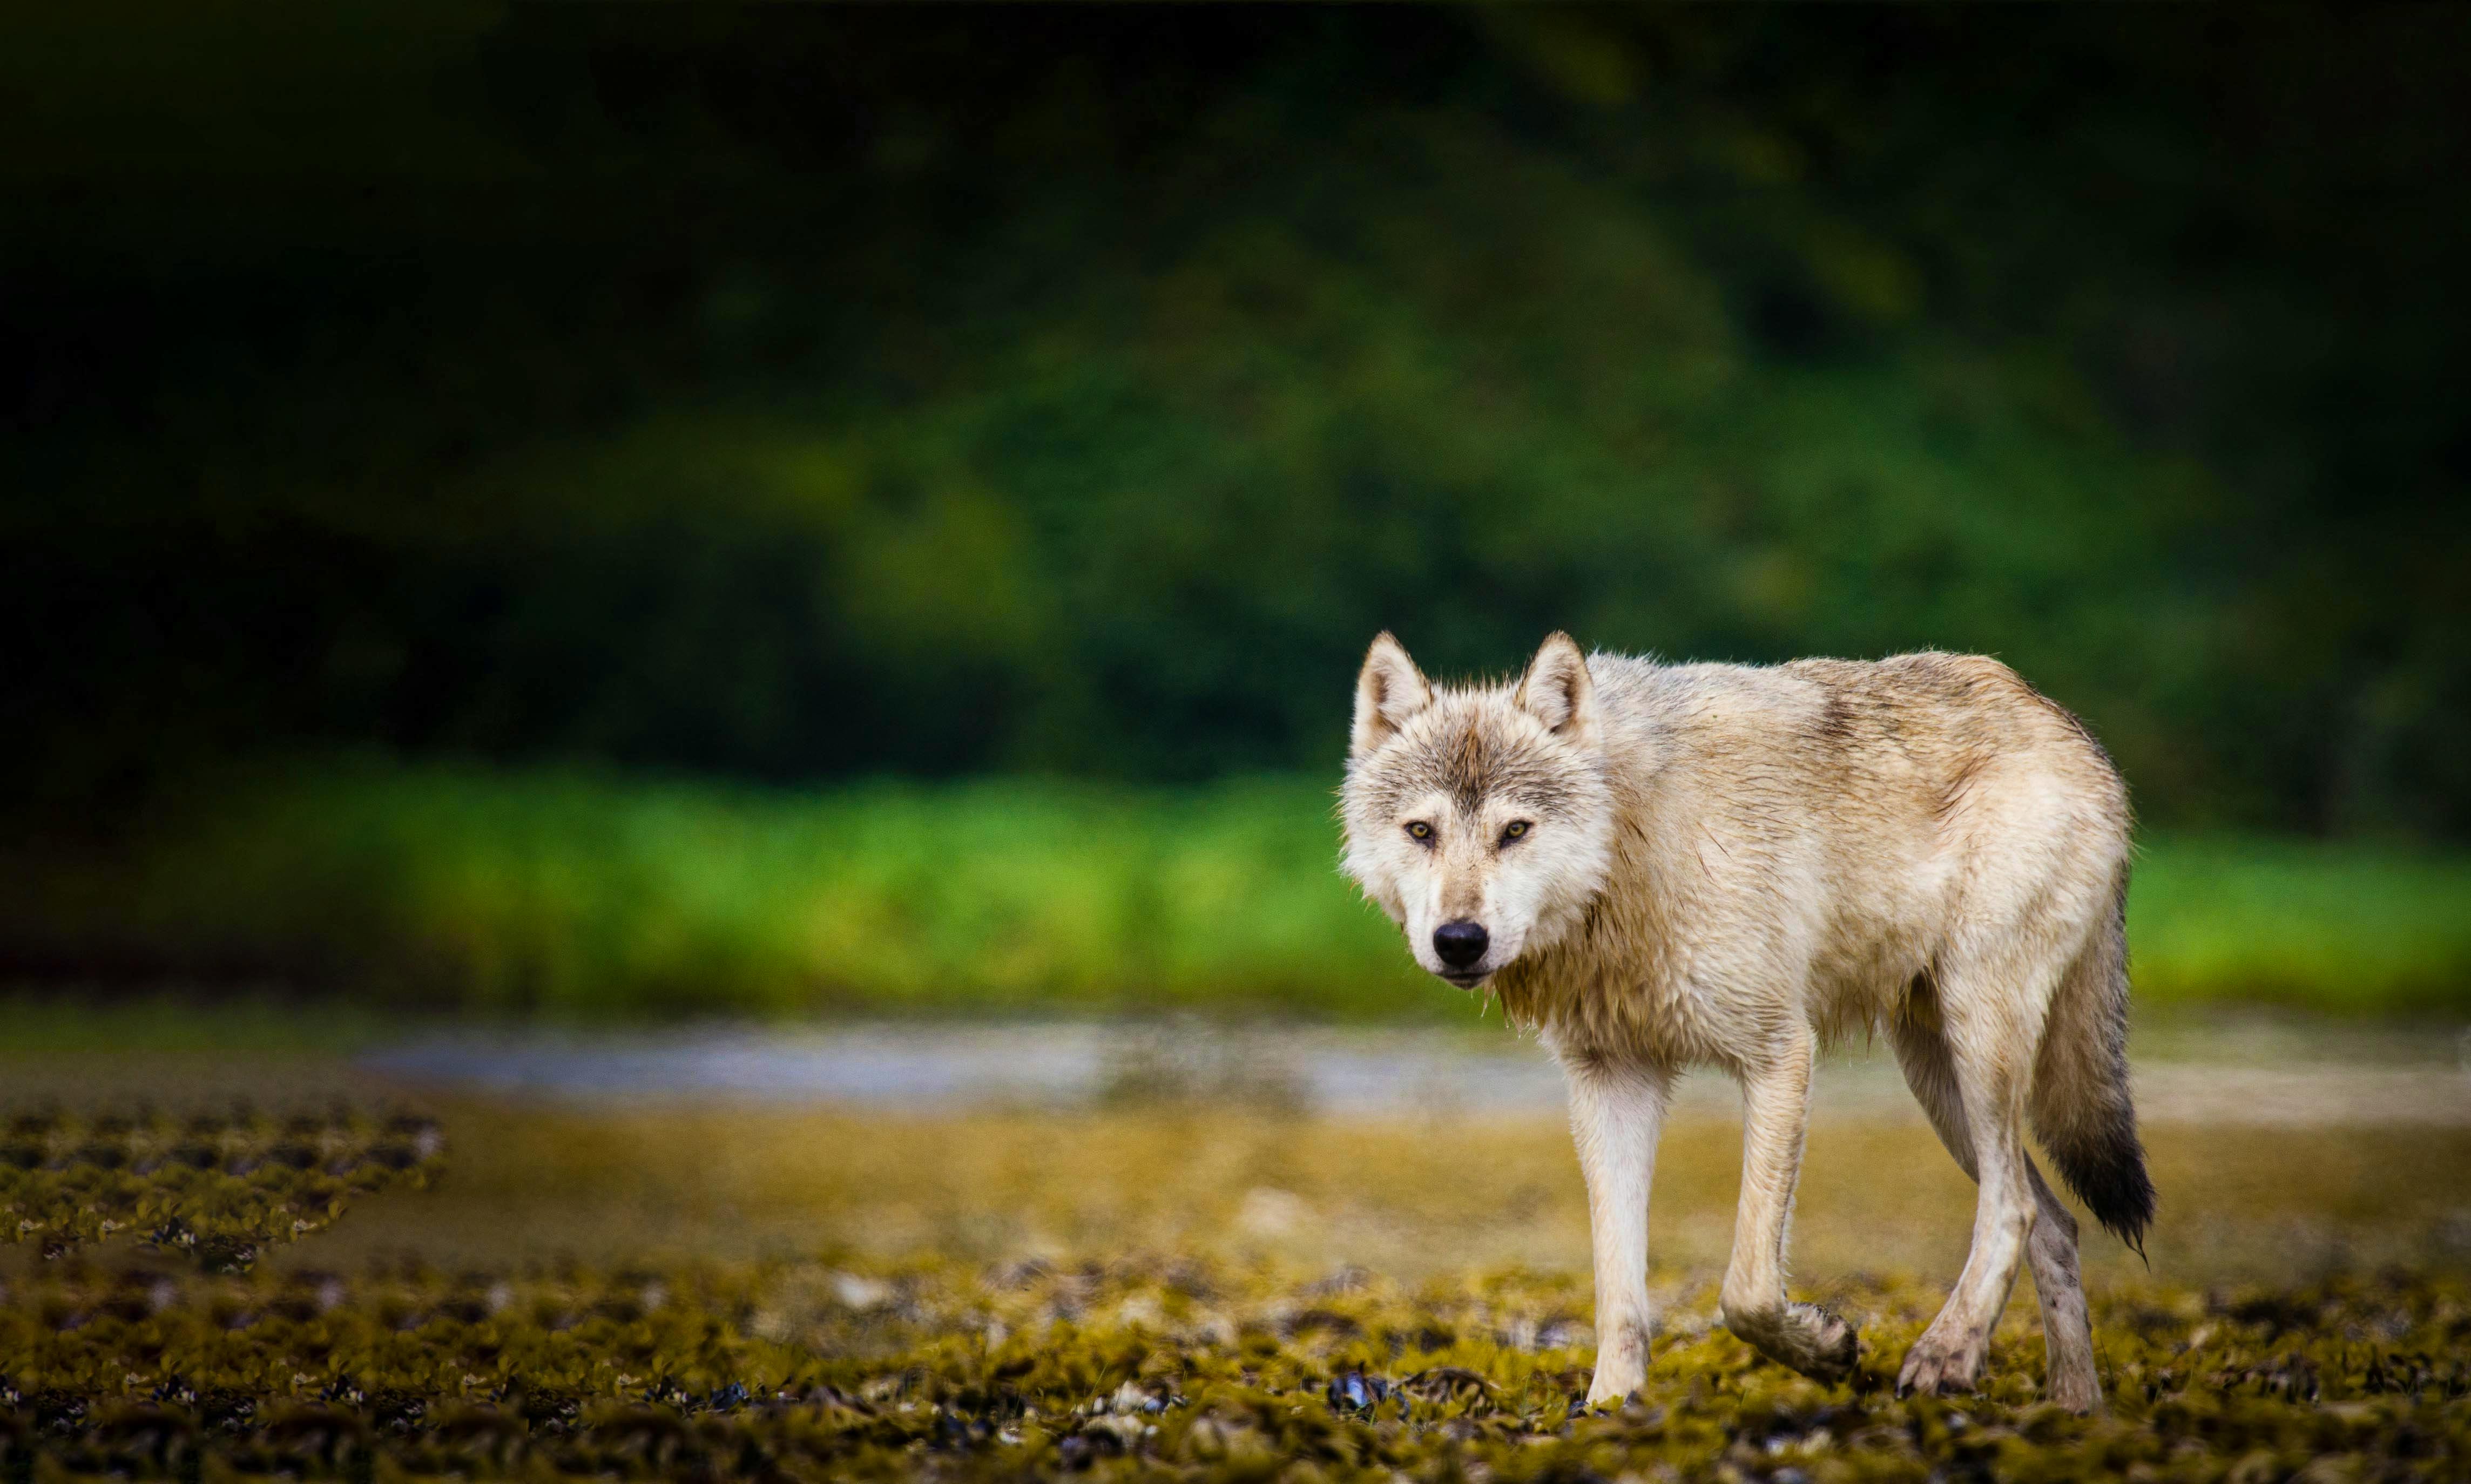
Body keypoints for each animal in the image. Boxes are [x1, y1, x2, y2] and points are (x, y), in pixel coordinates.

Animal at [1339, 632, 2152, 1411]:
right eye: (1421, 831)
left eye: (1514, 830)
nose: (1459, 940)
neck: (1631, 849)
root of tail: (2065, 723)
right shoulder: (1611, 1078)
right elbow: (1618, 1288)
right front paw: (1610, 1405)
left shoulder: (1780, 1054)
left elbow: (1747, 1291)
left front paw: (1825, 1350)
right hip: (1937, 1079)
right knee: (2055, 1224)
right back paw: (2071, 1412)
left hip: (1979, 1043)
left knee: (2013, 1207)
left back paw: (1945, 1354)